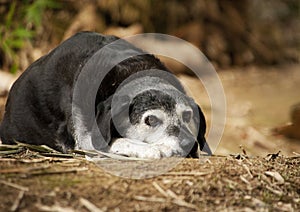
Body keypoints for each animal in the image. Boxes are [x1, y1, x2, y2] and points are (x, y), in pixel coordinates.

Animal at [0, 31, 211, 157]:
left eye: (187, 115)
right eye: (150, 120)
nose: (189, 143)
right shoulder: (86, 139)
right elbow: (121, 141)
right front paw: (155, 149)